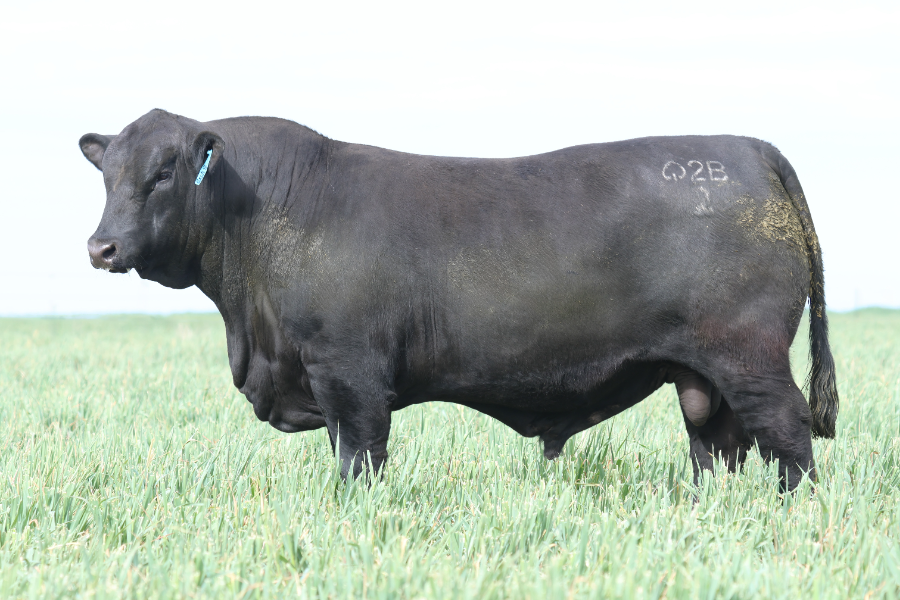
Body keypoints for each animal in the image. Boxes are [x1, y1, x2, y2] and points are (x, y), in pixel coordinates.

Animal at [79, 109, 838, 491]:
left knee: (788, 432)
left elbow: (359, 457)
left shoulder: (348, 371)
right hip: (702, 373)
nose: (101, 246)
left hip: (750, 356)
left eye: (164, 172)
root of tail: (749, 147)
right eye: (106, 173)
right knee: (717, 443)